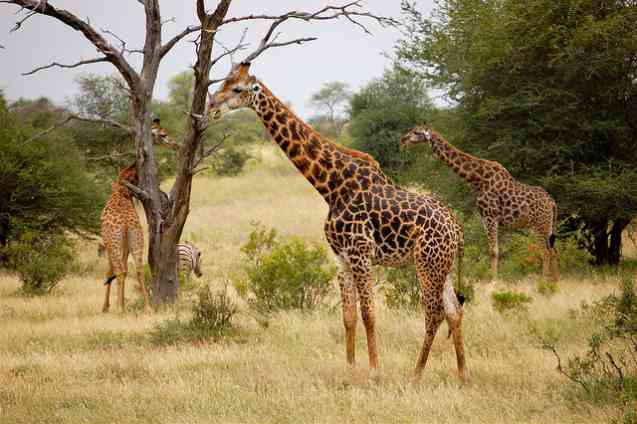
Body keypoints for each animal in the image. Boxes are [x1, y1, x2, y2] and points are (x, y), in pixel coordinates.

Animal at [100, 162, 150, 314]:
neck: (122, 192)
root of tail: (127, 222)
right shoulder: (127, 244)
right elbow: (127, 269)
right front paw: (121, 302)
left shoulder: (108, 243)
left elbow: (110, 271)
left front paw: (106, 307)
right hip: (137, 239)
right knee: (139, 270)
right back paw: (148, 307)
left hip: (115, 243)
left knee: (119, 271)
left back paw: (119, 309)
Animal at [209, 63, 468, 384]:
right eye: (223, 82)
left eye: (237, 88)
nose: (211, 107)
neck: (331, 187)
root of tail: (457, 230)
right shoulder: (342, 258)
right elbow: (348, 317)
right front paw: (350, 369)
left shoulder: (361, 254)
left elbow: (369, 314)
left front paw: (374, 372)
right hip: (442, 265)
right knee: (454, 310)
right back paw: (463, 374)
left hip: (427, 264)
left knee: (434, 313)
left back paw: (416, 373)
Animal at [400, 124, 560, 280]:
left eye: (416, 132)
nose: (403, 139)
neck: (477, 178)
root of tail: (552, 203)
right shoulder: (485, 218)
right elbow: (494, 250)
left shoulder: (491, 216)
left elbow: (493, 251)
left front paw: (493, 281)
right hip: (547, 225)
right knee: (553, 250)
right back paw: (555, 281)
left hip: (539, 224)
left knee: (546, 251)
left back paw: (544, 281)